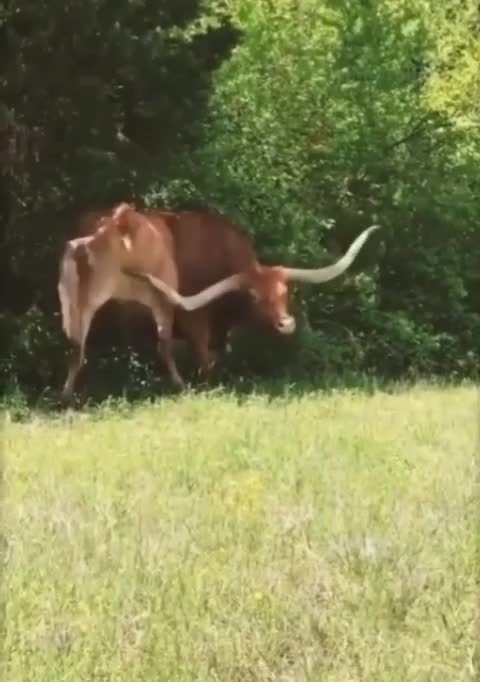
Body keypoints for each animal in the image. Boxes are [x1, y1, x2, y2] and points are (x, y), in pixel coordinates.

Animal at [57, 203, 244, 402]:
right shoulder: (170, 304)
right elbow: (172, 344)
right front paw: (190, 383)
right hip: (86, 303)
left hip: (77, 306)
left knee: (76, 348)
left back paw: (67, 395)